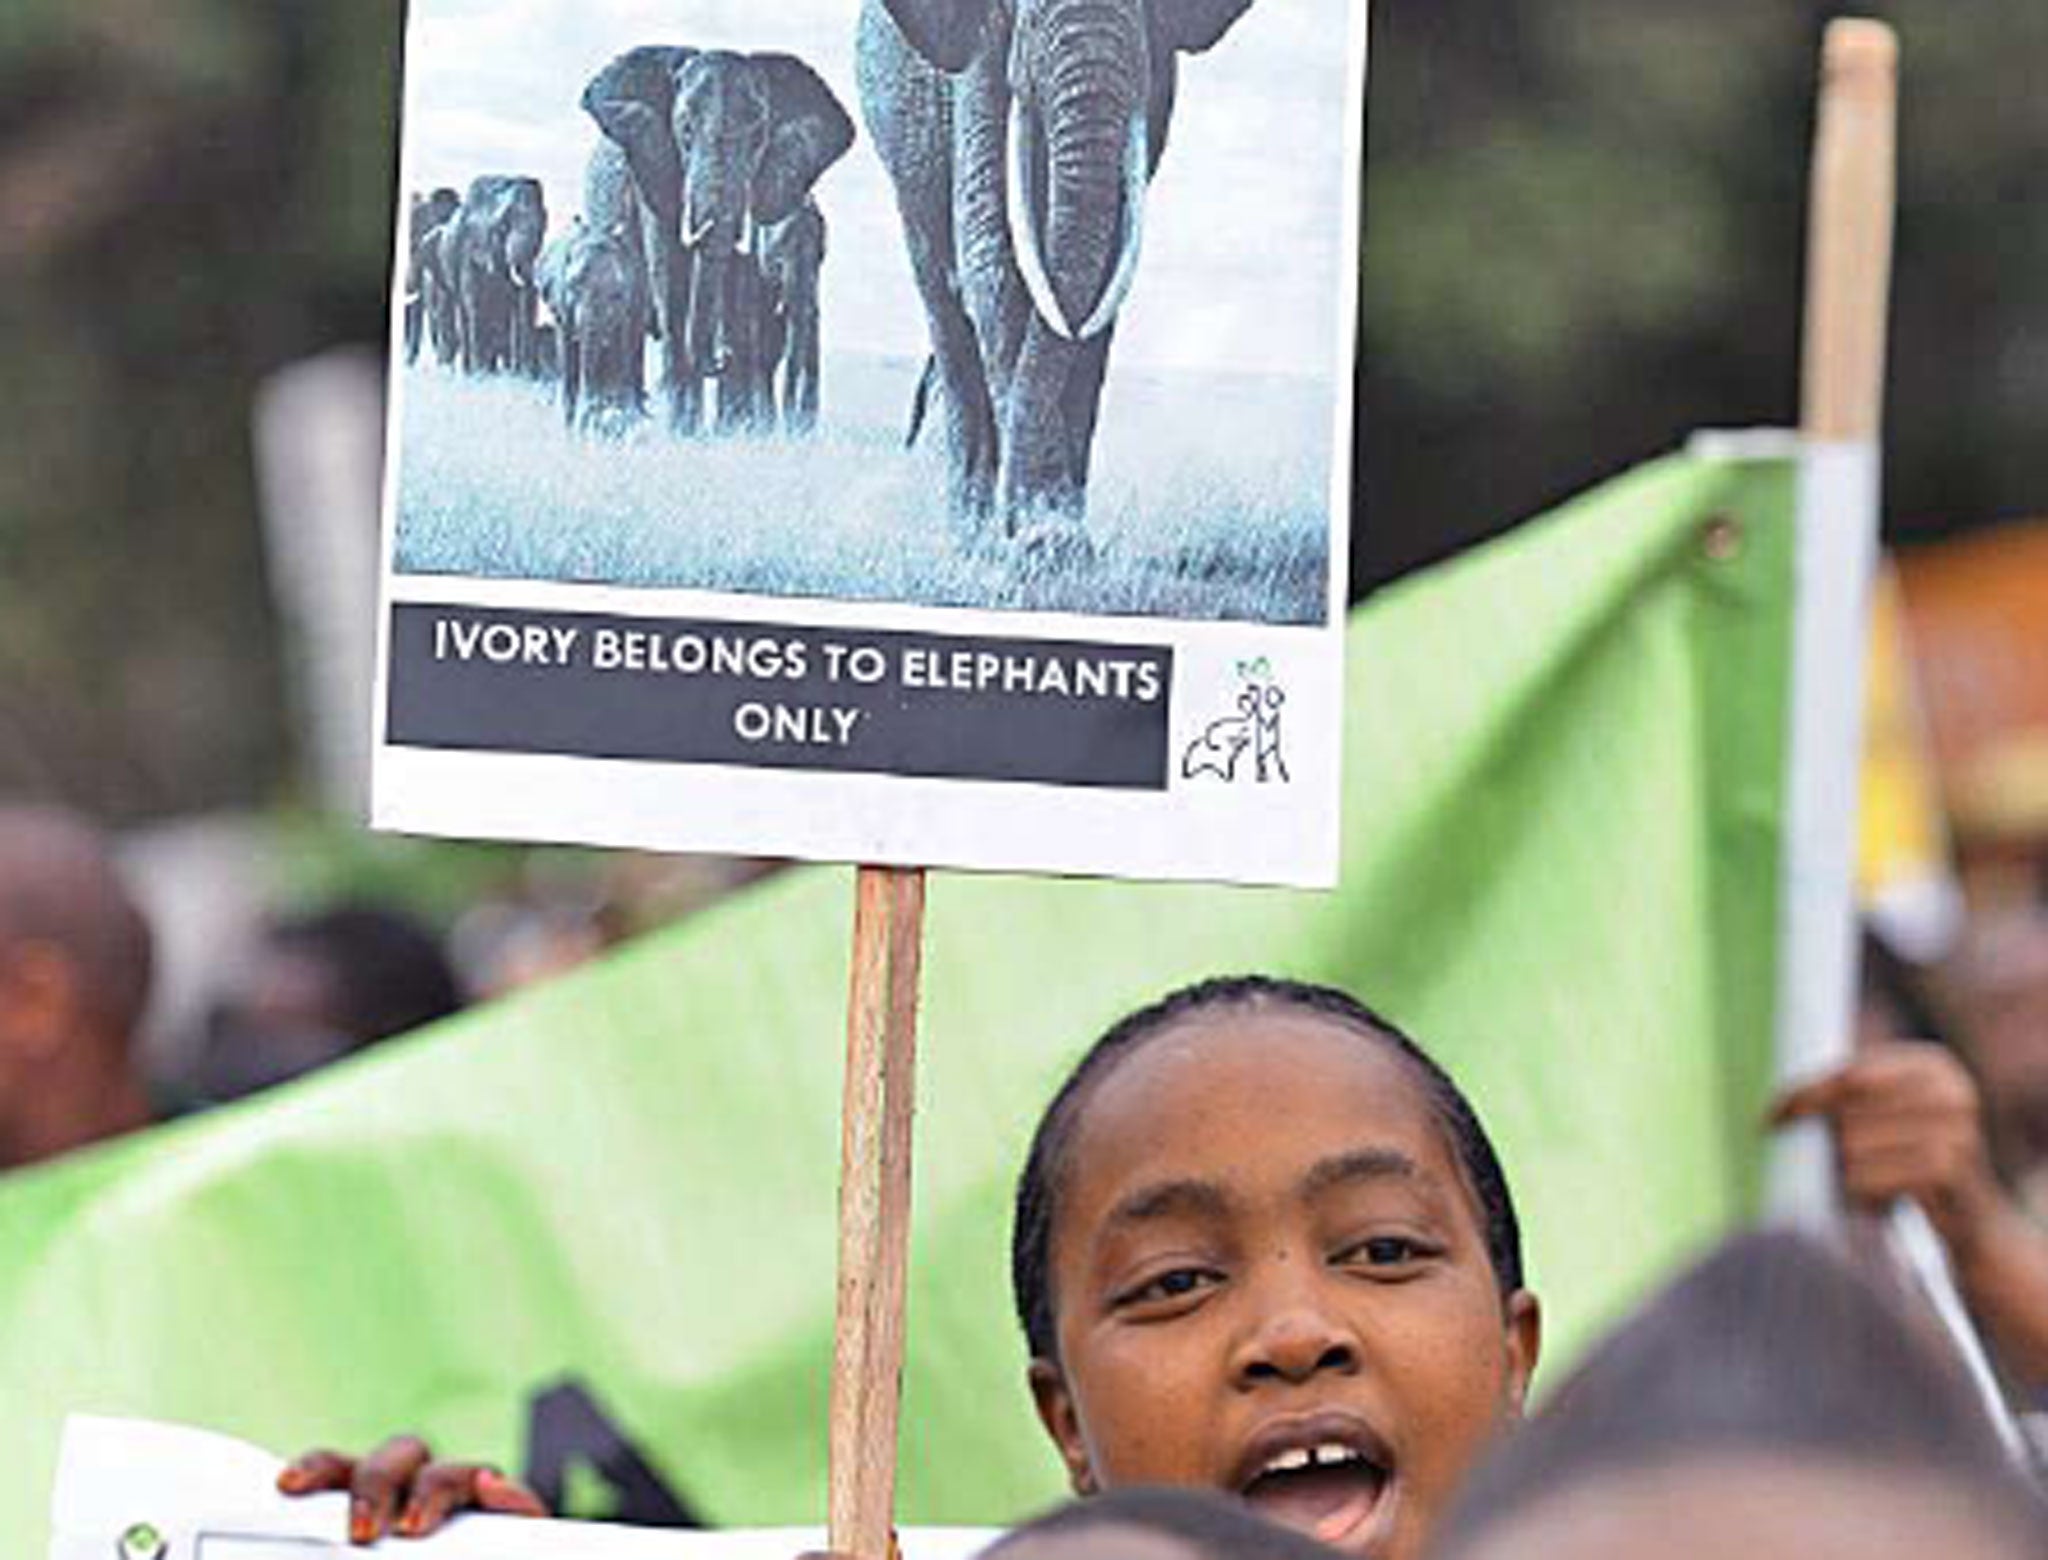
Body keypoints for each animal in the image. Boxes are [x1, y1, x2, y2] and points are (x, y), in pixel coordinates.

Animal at [446, 175, 548, 376]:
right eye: (503, 226)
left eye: (542, 228)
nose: (530, 372)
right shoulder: (468, 249)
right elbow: (474, 300)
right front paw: (480, 373)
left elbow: (522, 300)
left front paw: (522, 373)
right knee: (463, 309)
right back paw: (472, 370)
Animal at [585, 45, 856, 434]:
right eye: (684, 131)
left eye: (759, 138)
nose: (718, 357)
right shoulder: (654, 174)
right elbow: (671, 281)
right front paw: (683, 431)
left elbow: (740, 286)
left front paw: (733, 430)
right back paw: (629, 414)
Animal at [851, 0, 1261, 540]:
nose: (1020, 525)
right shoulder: (978, 59)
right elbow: (994, 253)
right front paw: (1038, 541)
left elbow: (1103, 276)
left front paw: (1057, 537)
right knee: (942, 300)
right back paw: (968, 533)